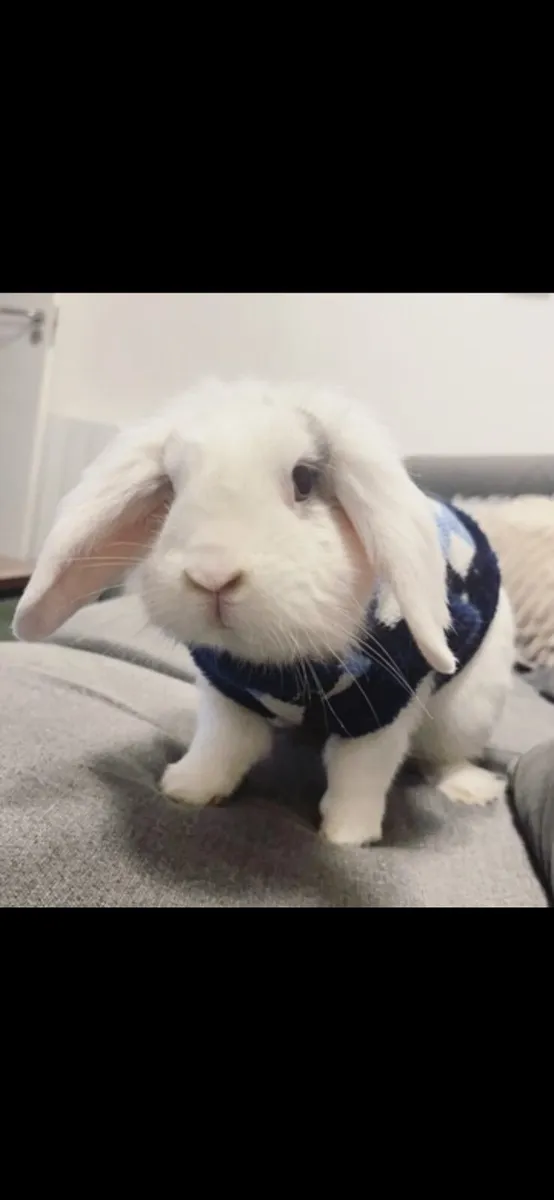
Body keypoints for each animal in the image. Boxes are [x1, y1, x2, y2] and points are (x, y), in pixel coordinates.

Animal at [13, 380, 514, 846]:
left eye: (304, 480)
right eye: (171, 488)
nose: (211, 575)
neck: (282, 669)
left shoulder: (386, 707)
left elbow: (360, 772)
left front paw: (347, 836)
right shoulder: (227, 693)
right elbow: (221, 745)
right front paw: (185, 789)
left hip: (465, 713)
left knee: (446, 757)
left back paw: (469, 789)